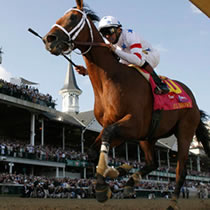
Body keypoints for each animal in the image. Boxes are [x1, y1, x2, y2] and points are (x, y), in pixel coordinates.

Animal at [43, 0, 210, 209]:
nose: (49, 39)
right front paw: (110, 175)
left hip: (185, 132)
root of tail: (193, 100)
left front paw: (102, 184)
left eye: (73, 17)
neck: (111, 79)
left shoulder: (133, 124)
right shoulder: (120, 129)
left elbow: (106, 137)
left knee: (181, 171)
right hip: (148, 137)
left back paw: (171, 202)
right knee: (153, 163)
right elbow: (93, 150)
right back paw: (129, 180)